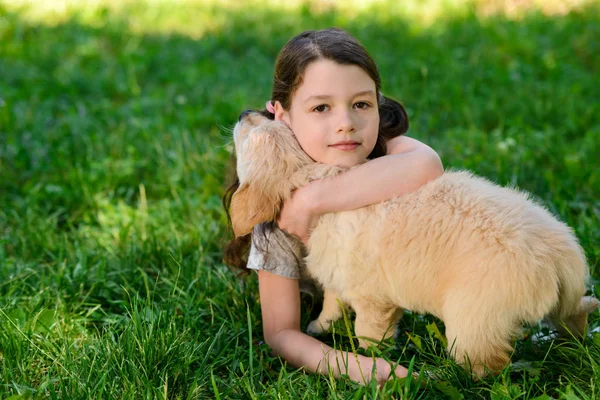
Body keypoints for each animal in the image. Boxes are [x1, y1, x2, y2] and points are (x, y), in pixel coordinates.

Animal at [229, 111, 596, 376]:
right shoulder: (337, 270)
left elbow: (367, 332)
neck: (315, 175)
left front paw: (370, 360)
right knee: (577, 310)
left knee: (488, 365)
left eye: (248, 137)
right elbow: (332, 301)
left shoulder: (372, 299)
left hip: (474, 321)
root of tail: (558, 255)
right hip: (564, 299)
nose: (246, 112)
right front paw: (319, 326)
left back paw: (452, 378)